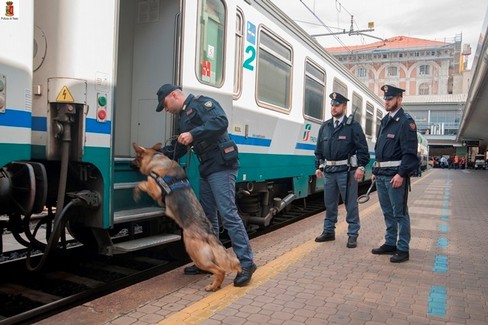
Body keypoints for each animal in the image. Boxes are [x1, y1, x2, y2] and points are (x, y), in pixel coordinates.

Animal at [132, 143, 242, 290]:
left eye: (135, 157)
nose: (130, 163)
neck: (156, 158)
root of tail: (209, 233)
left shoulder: (154, 188)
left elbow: (141, 183)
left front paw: (136, 193)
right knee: (220, 268)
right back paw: (215, 285)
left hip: (195, 253)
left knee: (220, 270)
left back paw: (212, 286)